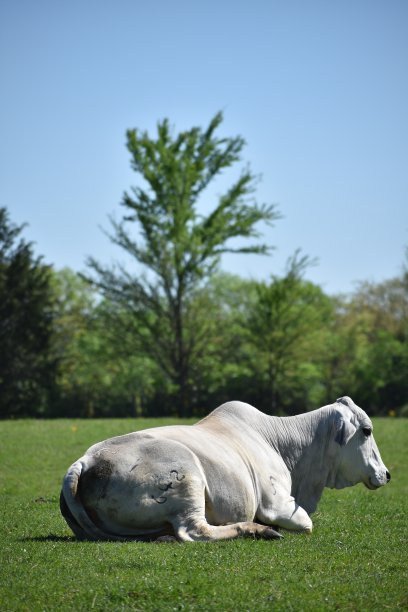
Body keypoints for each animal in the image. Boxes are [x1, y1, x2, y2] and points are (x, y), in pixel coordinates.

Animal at [59, 400, 388, 544]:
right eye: (367, 430)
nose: (386, 474)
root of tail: (86, 461)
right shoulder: (278, 504)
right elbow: (306, 523)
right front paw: (268, 526)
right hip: (187, 478)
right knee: (194, 531)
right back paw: (258, 530)